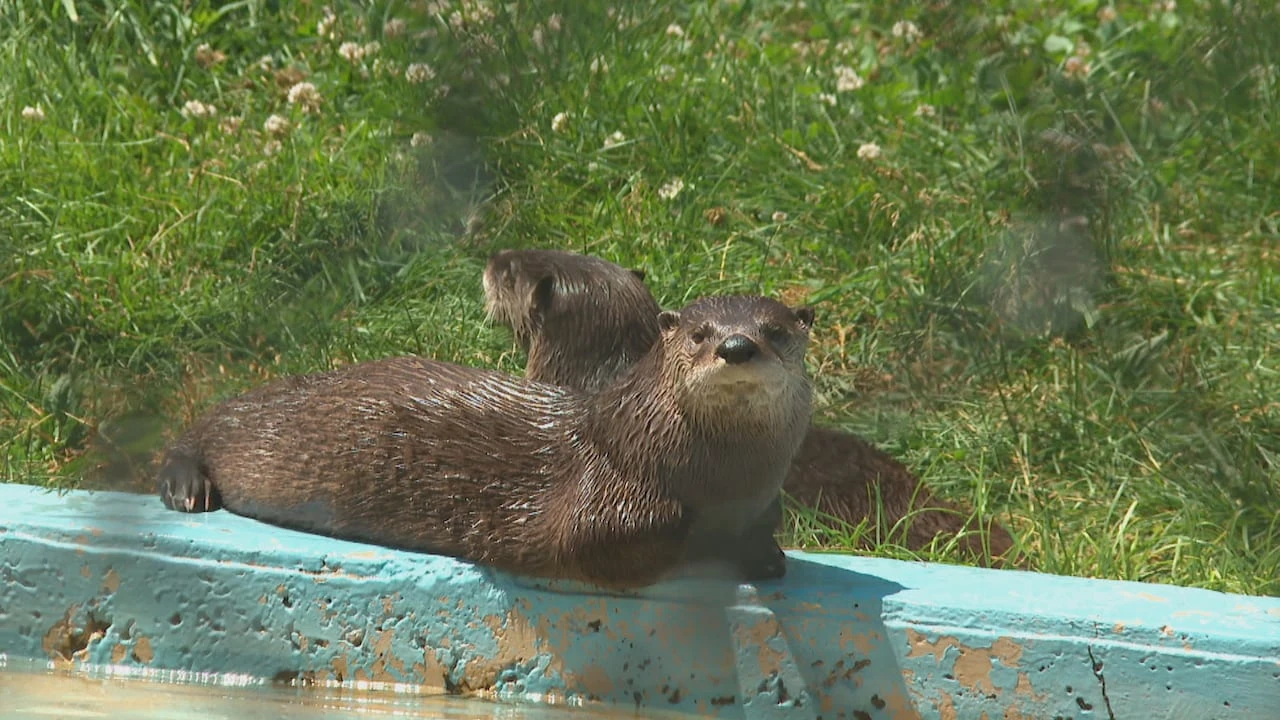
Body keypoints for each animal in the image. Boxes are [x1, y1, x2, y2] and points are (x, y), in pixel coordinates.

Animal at [157, 294, 816, 589]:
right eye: (701, 333)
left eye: (776, 331)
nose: (736, 347)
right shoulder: (610, 495)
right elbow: (607, 540)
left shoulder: (763, 496)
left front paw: (766, 555)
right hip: (249, 419)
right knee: (200, 430)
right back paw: (187, 488)